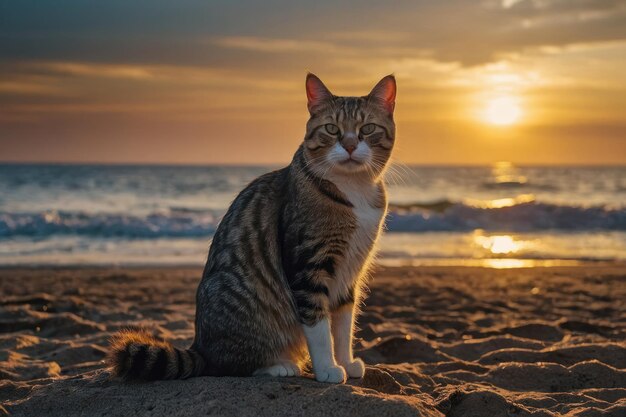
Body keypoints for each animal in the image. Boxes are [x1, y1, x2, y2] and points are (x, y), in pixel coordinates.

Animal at [105, 72, 392, 384]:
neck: (353, 189)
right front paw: (327, 368)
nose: (350, 146)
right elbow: (318, 327)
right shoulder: (308, 264)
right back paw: (278, 366)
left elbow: (343, 327)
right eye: (331, 128)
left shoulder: (350, 272)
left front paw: (346, 362)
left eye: (367, 129)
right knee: (231, 366)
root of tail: (200, 347)